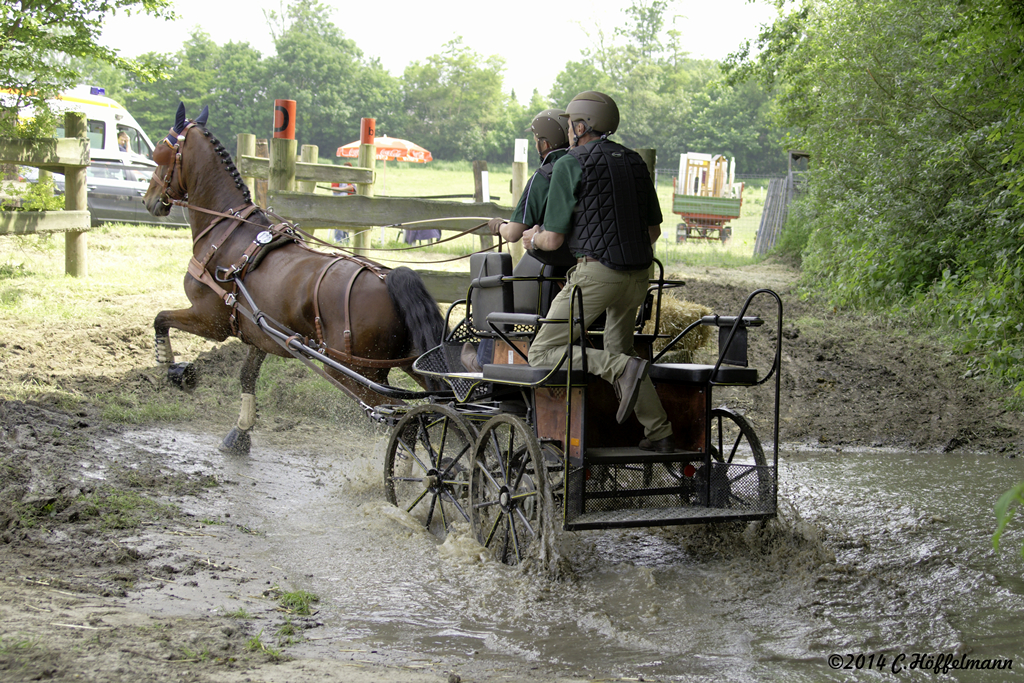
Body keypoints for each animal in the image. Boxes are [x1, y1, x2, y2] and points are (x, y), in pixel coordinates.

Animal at [144, 102, 444, 454]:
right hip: (413, 364)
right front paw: (241, 432)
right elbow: (247, 376)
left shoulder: (210, 320)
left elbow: (161, 318)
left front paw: (172, 366)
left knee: (406, 425)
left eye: (161, 153)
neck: (227, 231)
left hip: (355, 373)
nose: (149, 199)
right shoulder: (259, 330)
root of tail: (389, 279)